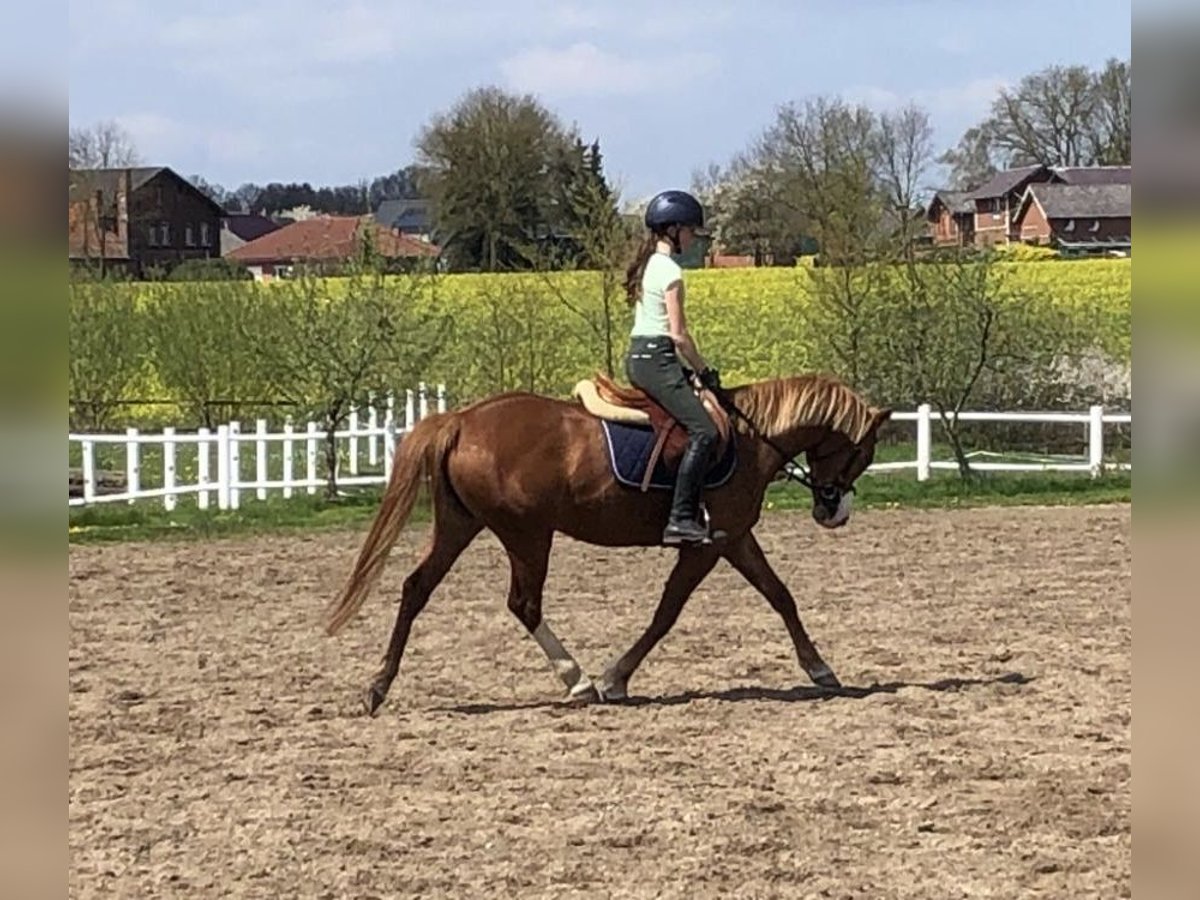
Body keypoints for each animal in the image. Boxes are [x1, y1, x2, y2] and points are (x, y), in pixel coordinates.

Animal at [321, 369, 892, 715]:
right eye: (861, 452)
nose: (834, 512)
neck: (750, 439)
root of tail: (461, 420)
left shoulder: (734, 538)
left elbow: (779, 595)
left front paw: (819, 667)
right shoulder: (708, 544)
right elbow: (667, 612)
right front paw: (616, 677)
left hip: (462, 525)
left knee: (416, 589)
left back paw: (377, 687)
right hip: (527, 533)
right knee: (524, 604)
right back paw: (578, 681)